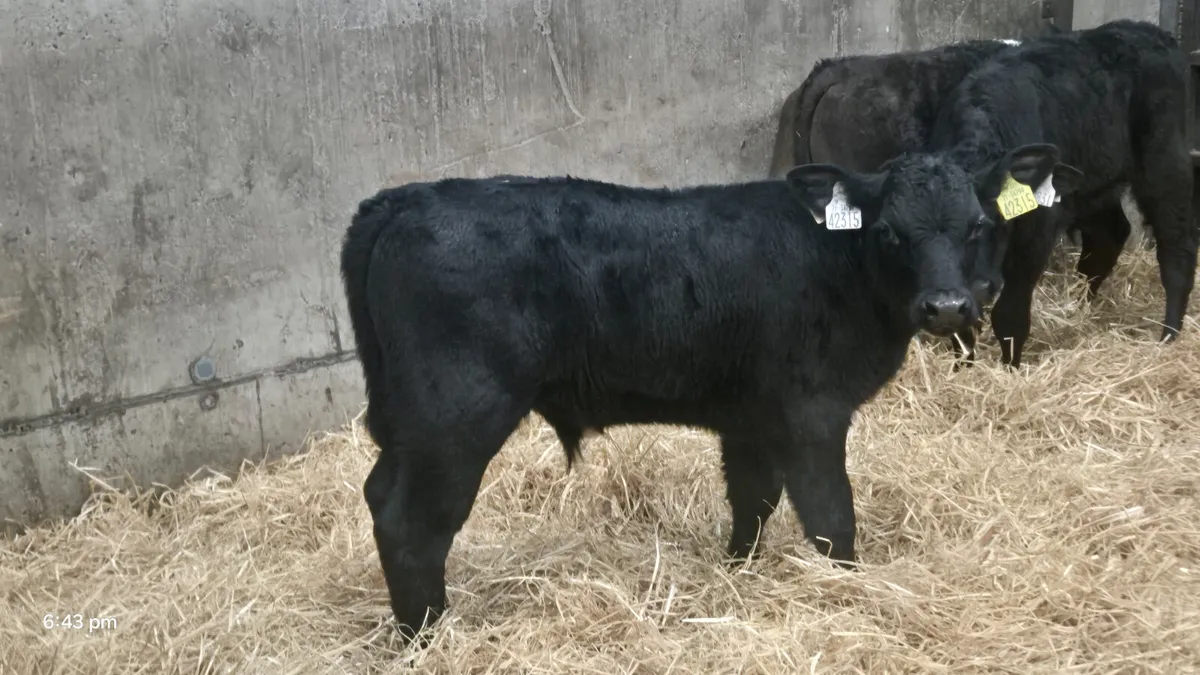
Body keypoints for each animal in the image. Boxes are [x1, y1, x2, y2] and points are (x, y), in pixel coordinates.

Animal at [338, 153, 1043, 641]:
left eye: (977, 225)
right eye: (892, 232)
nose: (947, 306)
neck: (839, 262)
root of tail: (401, 199)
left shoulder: (752, 416)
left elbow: (752, 501)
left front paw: (738, 574)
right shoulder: (814, 412)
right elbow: (830, 516)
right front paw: (847, 592)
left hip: (411, 420)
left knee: (380, 495)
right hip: (456, 414)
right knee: (412, 521)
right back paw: (427, 637)